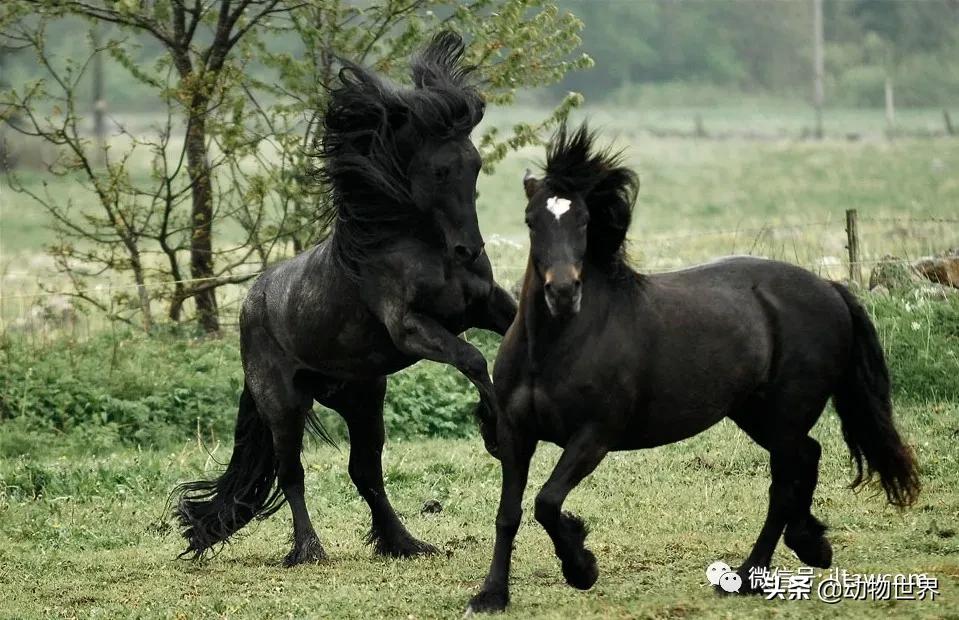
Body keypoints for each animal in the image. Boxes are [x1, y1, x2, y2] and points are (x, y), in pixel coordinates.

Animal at [172, 32, 516, 567]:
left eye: (475, 166)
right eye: (440, 171)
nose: (469, 249)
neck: (414, 241)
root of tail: (250, 307)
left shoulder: (485, 306)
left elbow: (514, 327)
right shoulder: (411, 327)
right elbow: (474, 359)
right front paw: (496, 433)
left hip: (362, 398)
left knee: (365, 472)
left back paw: (405, 543)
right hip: (284, 406)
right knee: (292, 474)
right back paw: (309, 549)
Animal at [466, 122, 920, 612]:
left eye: (584, 220)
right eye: (532, 221)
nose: (564, 292)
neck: (555, 347)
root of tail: (829, 288)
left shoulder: (594, 436)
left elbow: (547, 502)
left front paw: (581, 567)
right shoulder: (516, 433)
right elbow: (509, 513)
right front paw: (491, 595)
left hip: (785, 413)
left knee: (784, 483)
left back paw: (749, 574)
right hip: (755, 413)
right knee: (808, 456)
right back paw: (811, 545)